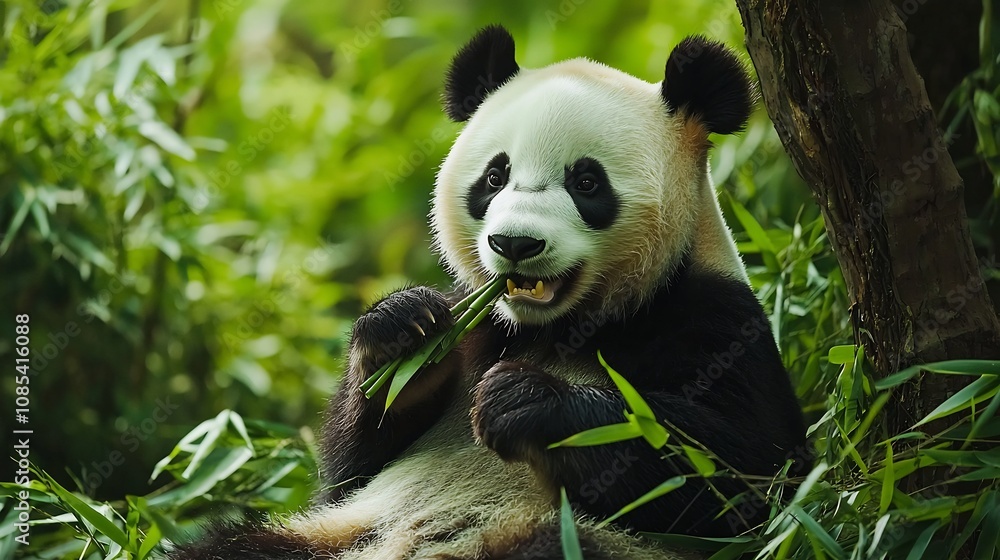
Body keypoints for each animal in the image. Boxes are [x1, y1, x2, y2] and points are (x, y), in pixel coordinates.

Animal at [170, 25, 808, 560]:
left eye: (586, 181)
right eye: (495, 177)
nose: (515, 243)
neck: (557, 328)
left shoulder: (713, 319)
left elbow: (745, 483)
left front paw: (526, 403)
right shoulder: (478, 322)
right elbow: (350, 468)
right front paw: (402, 333)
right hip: (324, 538)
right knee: (227, 547)